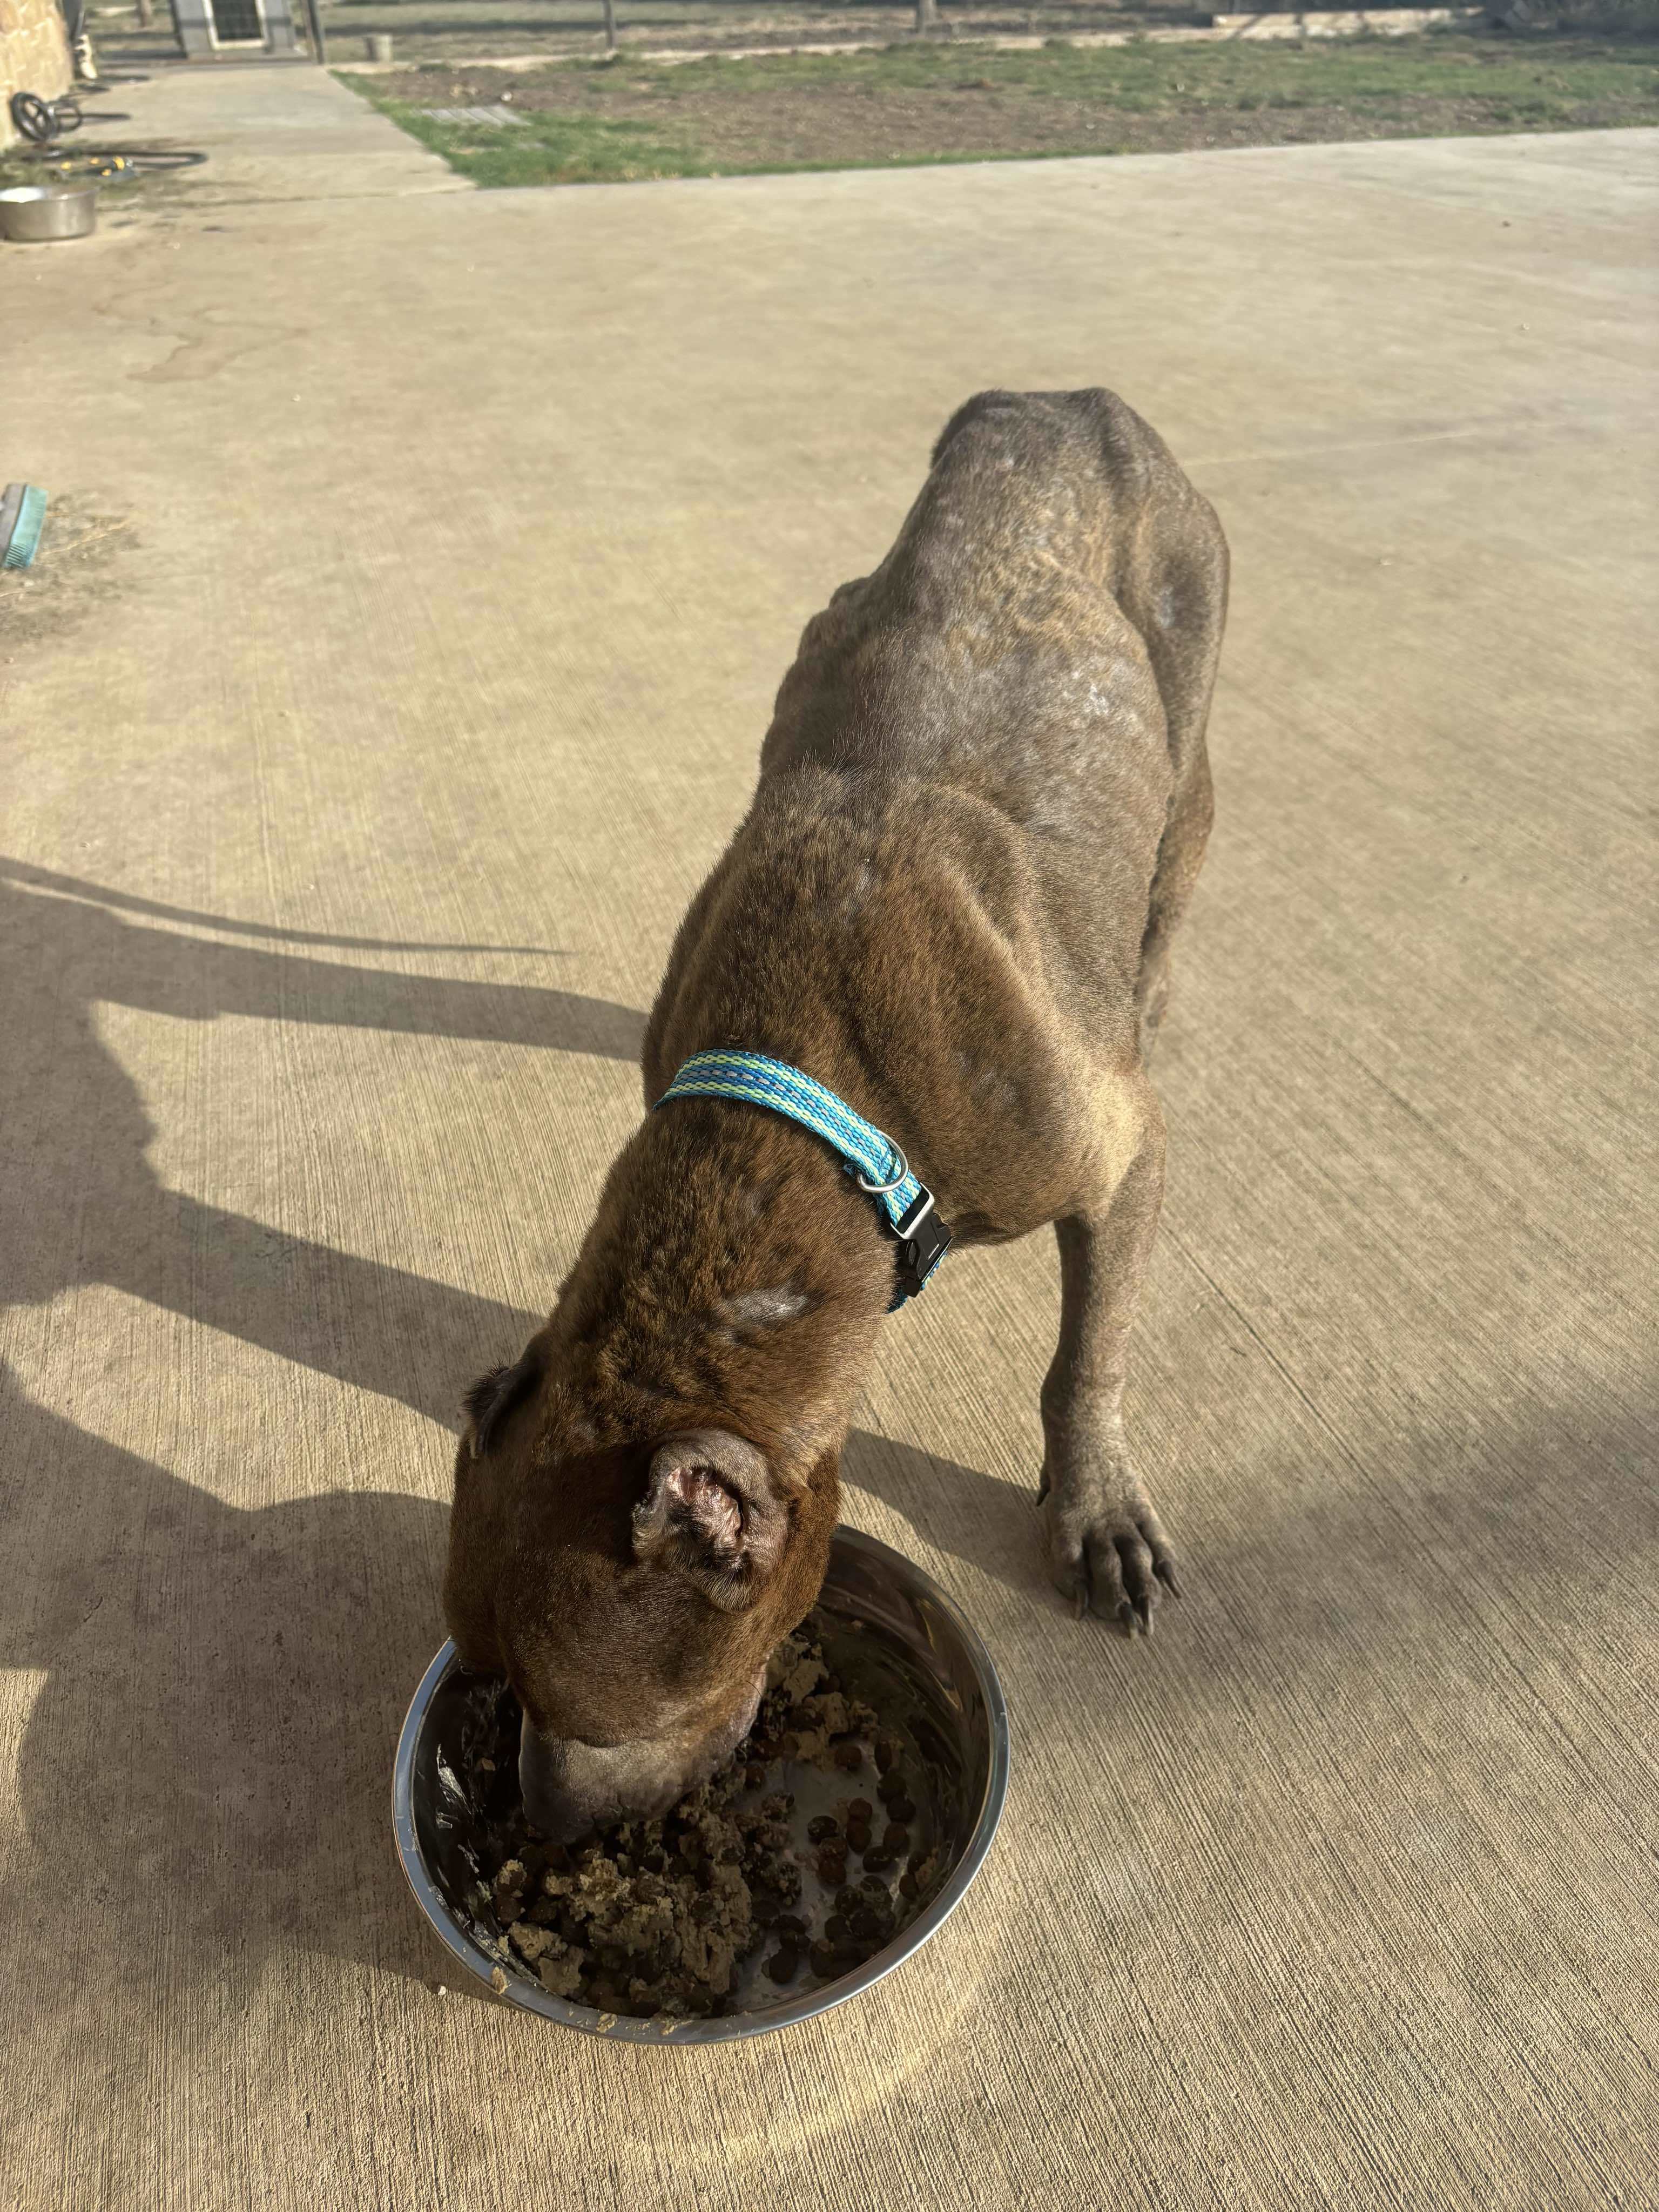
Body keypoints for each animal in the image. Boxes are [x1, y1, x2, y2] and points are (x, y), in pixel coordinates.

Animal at [449, 389, 1230, 1840]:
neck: (805, 1106)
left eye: (600, 1719)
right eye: (478, 1673)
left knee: (1163, 882)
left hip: (1189, 699)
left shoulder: (1118, 1157)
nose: (540, 1824)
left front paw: (1093, 1505)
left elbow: (1085, 1352)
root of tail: (1050, 404)